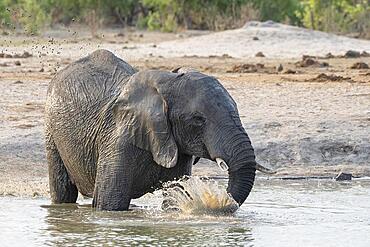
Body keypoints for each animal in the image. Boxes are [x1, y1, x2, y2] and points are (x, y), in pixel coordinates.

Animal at [45, 49, 268, 210]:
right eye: (198, 120)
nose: (221, 201)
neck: (167, 82)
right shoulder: (117, 139)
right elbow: (109, 202)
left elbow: (174, 195)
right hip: (50, 128)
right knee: (62, 190)